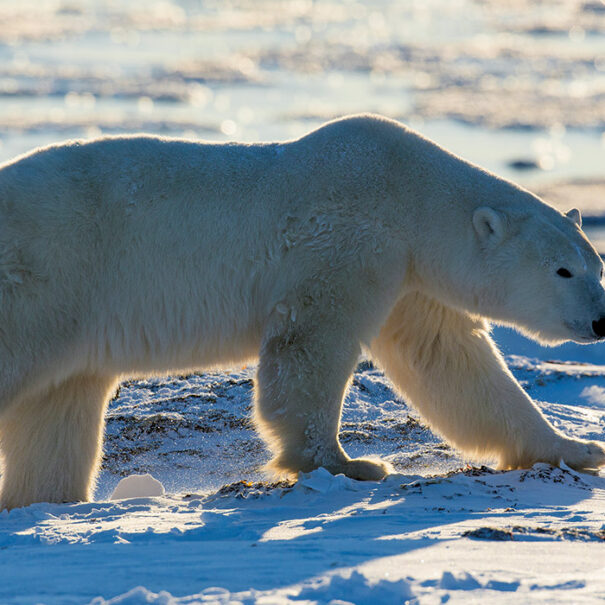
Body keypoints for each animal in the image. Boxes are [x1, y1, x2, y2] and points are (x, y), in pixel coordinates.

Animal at [1, 114, 604, 510]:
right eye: (562, 271)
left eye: (595, 263)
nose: (601, 321)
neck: (407, 190)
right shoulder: (348, 240)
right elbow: (310, 344)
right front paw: (348, 463)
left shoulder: (408, 277)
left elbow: (454, 364)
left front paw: (577, 448)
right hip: (47, 276)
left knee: (59, 410)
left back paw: (47, 500)